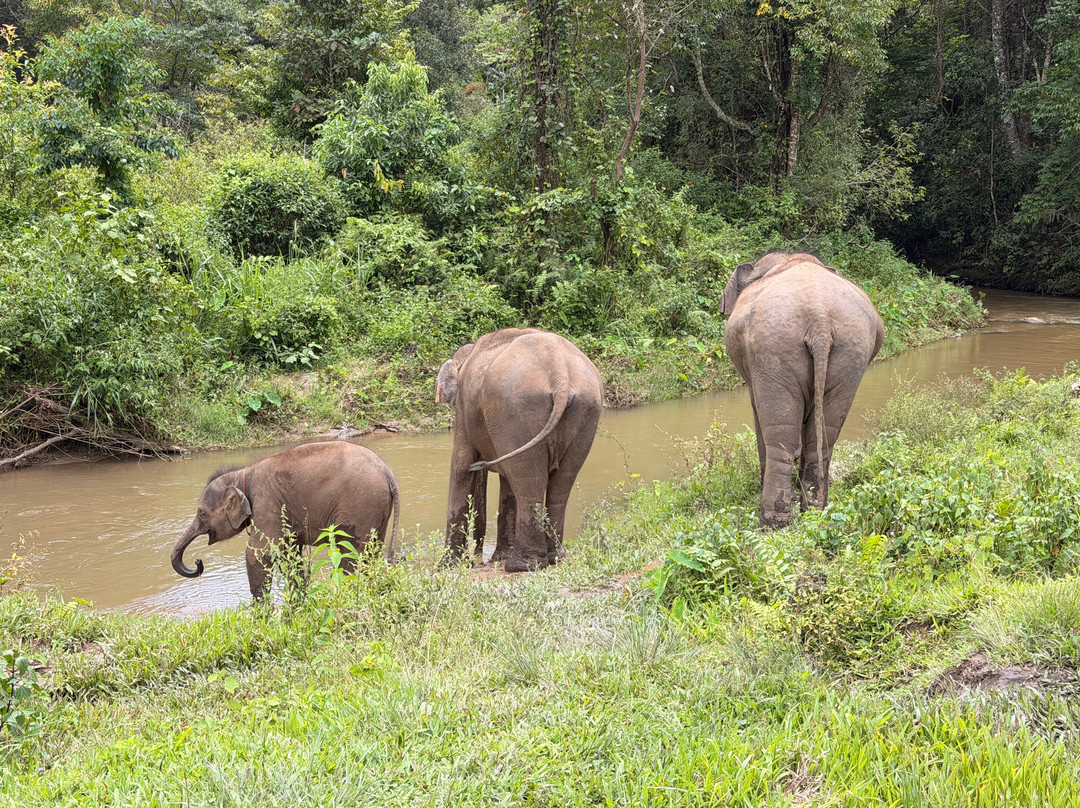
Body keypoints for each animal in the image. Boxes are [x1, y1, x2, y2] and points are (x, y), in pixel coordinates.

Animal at [171, 441, 400, 599]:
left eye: (201, 513)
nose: (198, 562)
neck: (241, 474)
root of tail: (389, 474)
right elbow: (290, 553)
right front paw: (299, 601)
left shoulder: (266, 503)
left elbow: (258, 553)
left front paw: (261, 615)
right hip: (375, 509)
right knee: (371, 551)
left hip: (360, 506)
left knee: (350, 553)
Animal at [435, 328, 604, 572]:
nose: (477, 559)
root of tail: (560, 374)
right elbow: (506, 479)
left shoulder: (464, 410)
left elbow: (461, 467)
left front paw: (448, 566)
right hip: (586, 411)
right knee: (559, 481)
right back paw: (553, 558)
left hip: (519, 408)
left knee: (528, 479)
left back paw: (520, 565)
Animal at [721, 250, 884, 528]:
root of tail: (819, 319)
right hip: (852, 352)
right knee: (825, 435)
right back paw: (815, 510)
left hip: (773, 348)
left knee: (779, 437)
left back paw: (772, 522)